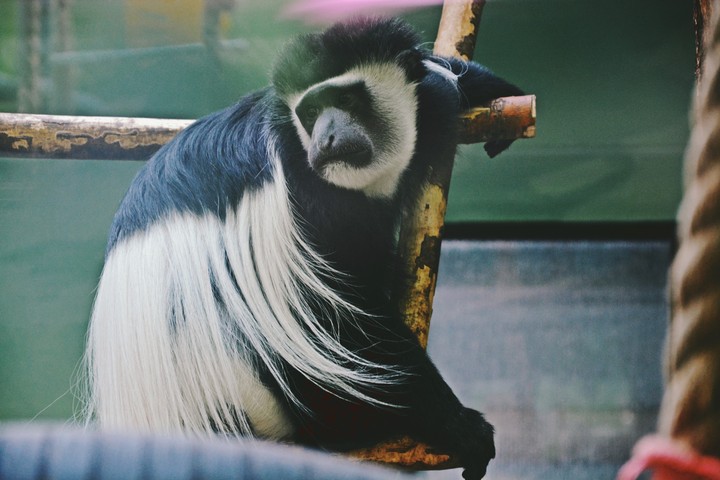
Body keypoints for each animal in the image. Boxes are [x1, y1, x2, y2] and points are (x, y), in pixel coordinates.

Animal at [85, 17, 524, 479]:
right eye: (310, 113)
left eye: (346, 98)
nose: (327, 138)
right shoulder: (306, 203)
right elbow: (348, 320)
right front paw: (462, 427)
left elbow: (437, 83)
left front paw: (492, 88)